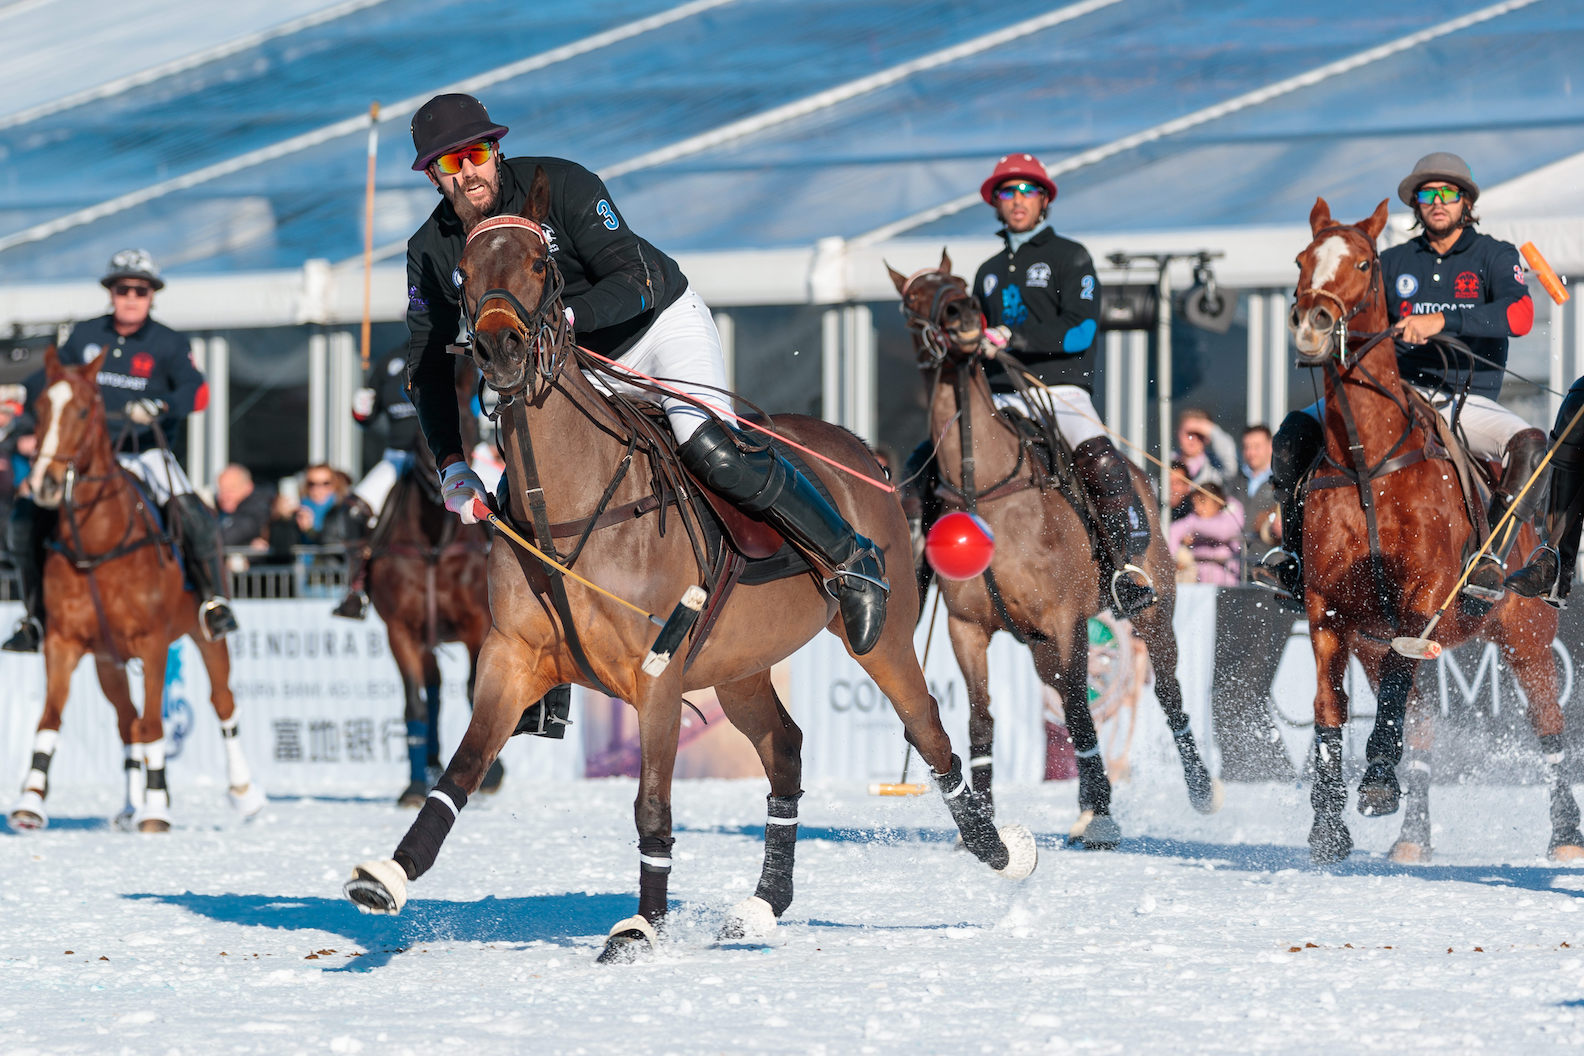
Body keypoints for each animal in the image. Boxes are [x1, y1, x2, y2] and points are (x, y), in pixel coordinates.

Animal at [7, 353, 261, 835]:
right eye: (41, 409)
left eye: (83, 411)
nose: (45, 484)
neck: (97, 543)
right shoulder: (63, 642)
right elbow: (51, 718)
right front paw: (30, 801)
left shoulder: (153, 643)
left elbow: (154, 724)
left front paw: (157, 808)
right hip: (108, 660)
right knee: (126, 722)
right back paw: (129, 805)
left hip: (204, 635)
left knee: (222, 702)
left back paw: (244, 795)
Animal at [346, 163, 1039, 956]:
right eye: (460, 274)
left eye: (541, 265)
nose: (501, 351)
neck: (569, 504)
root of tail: (861, 450)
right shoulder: (509, 655)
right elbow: (460, 767)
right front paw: (389, 875)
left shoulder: (657, 673)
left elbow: (652, 803)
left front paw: (640, 926)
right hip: (740, 664)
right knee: (786, 748)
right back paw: (764, 903)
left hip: (884, 638)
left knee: (925, 725)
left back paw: (1001, 847)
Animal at [893, 256, 1210, 848]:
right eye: (911, 301)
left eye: (961, 287)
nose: (964, 318)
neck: (984, 485)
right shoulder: (966, 627)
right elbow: (981, 721)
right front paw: (985, 819)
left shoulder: (1066, 620)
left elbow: (1084, 717)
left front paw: (1104, 816)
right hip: (1039, 648)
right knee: (1065, 698)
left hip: (1154, 606)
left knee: (1166, 690)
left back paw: (1200, 789)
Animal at [1292, 200, 1577, 867]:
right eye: (1300, 259)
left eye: (1363, 264)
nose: (1311, 324)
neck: (1366, 461)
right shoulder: (1327, 608)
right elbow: (1328, 707)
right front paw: (1328, 828)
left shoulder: (1421, 597)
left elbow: (1513, 304)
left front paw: (1372, 784)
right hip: (1376, 641)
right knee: (1416, 729)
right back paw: (1412, 837)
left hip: (1527, 635)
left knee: (1549, 730)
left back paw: (1566, 836)